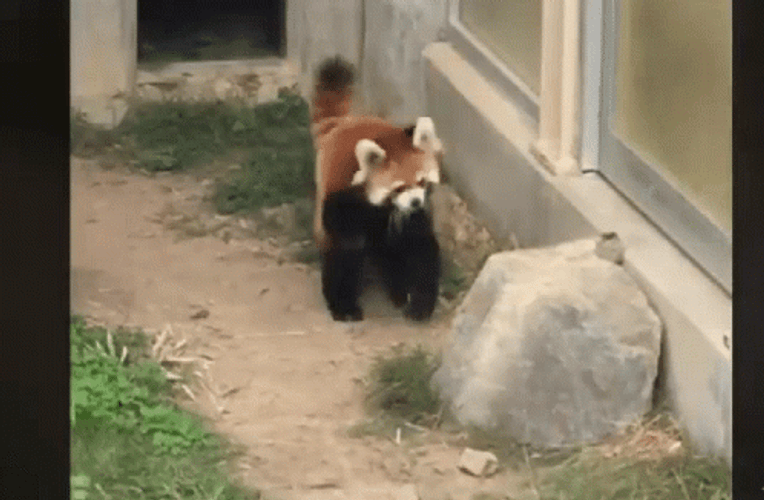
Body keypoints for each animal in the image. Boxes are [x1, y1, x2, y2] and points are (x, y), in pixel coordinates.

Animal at [310, 56, 444, 322]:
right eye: (399, 188)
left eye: (422, 182)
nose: (415, 202)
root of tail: (345, 123)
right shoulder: (342, 202)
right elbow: (346, 251)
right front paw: (344, 305)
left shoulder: (413, 217)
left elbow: (420, 247)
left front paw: (419, 302)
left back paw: (397, 289)